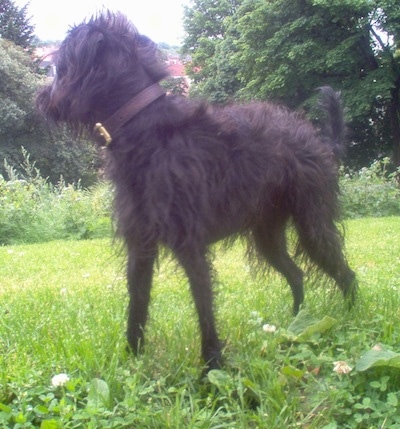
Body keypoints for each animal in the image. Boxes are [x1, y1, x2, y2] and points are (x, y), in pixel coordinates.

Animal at [36, 12, 356, 368]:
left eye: (61, 67)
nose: (41, 99)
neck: (143, 126)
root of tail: (321, 142)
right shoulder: (140, 245)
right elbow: (137, 306)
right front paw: (132, 361)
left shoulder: (189, 246)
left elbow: (204, 308)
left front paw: (211, 366)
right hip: (267, 236)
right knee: (297, 275)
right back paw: (294, 324)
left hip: (312, 226)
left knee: (346, 274)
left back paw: (349, 319)